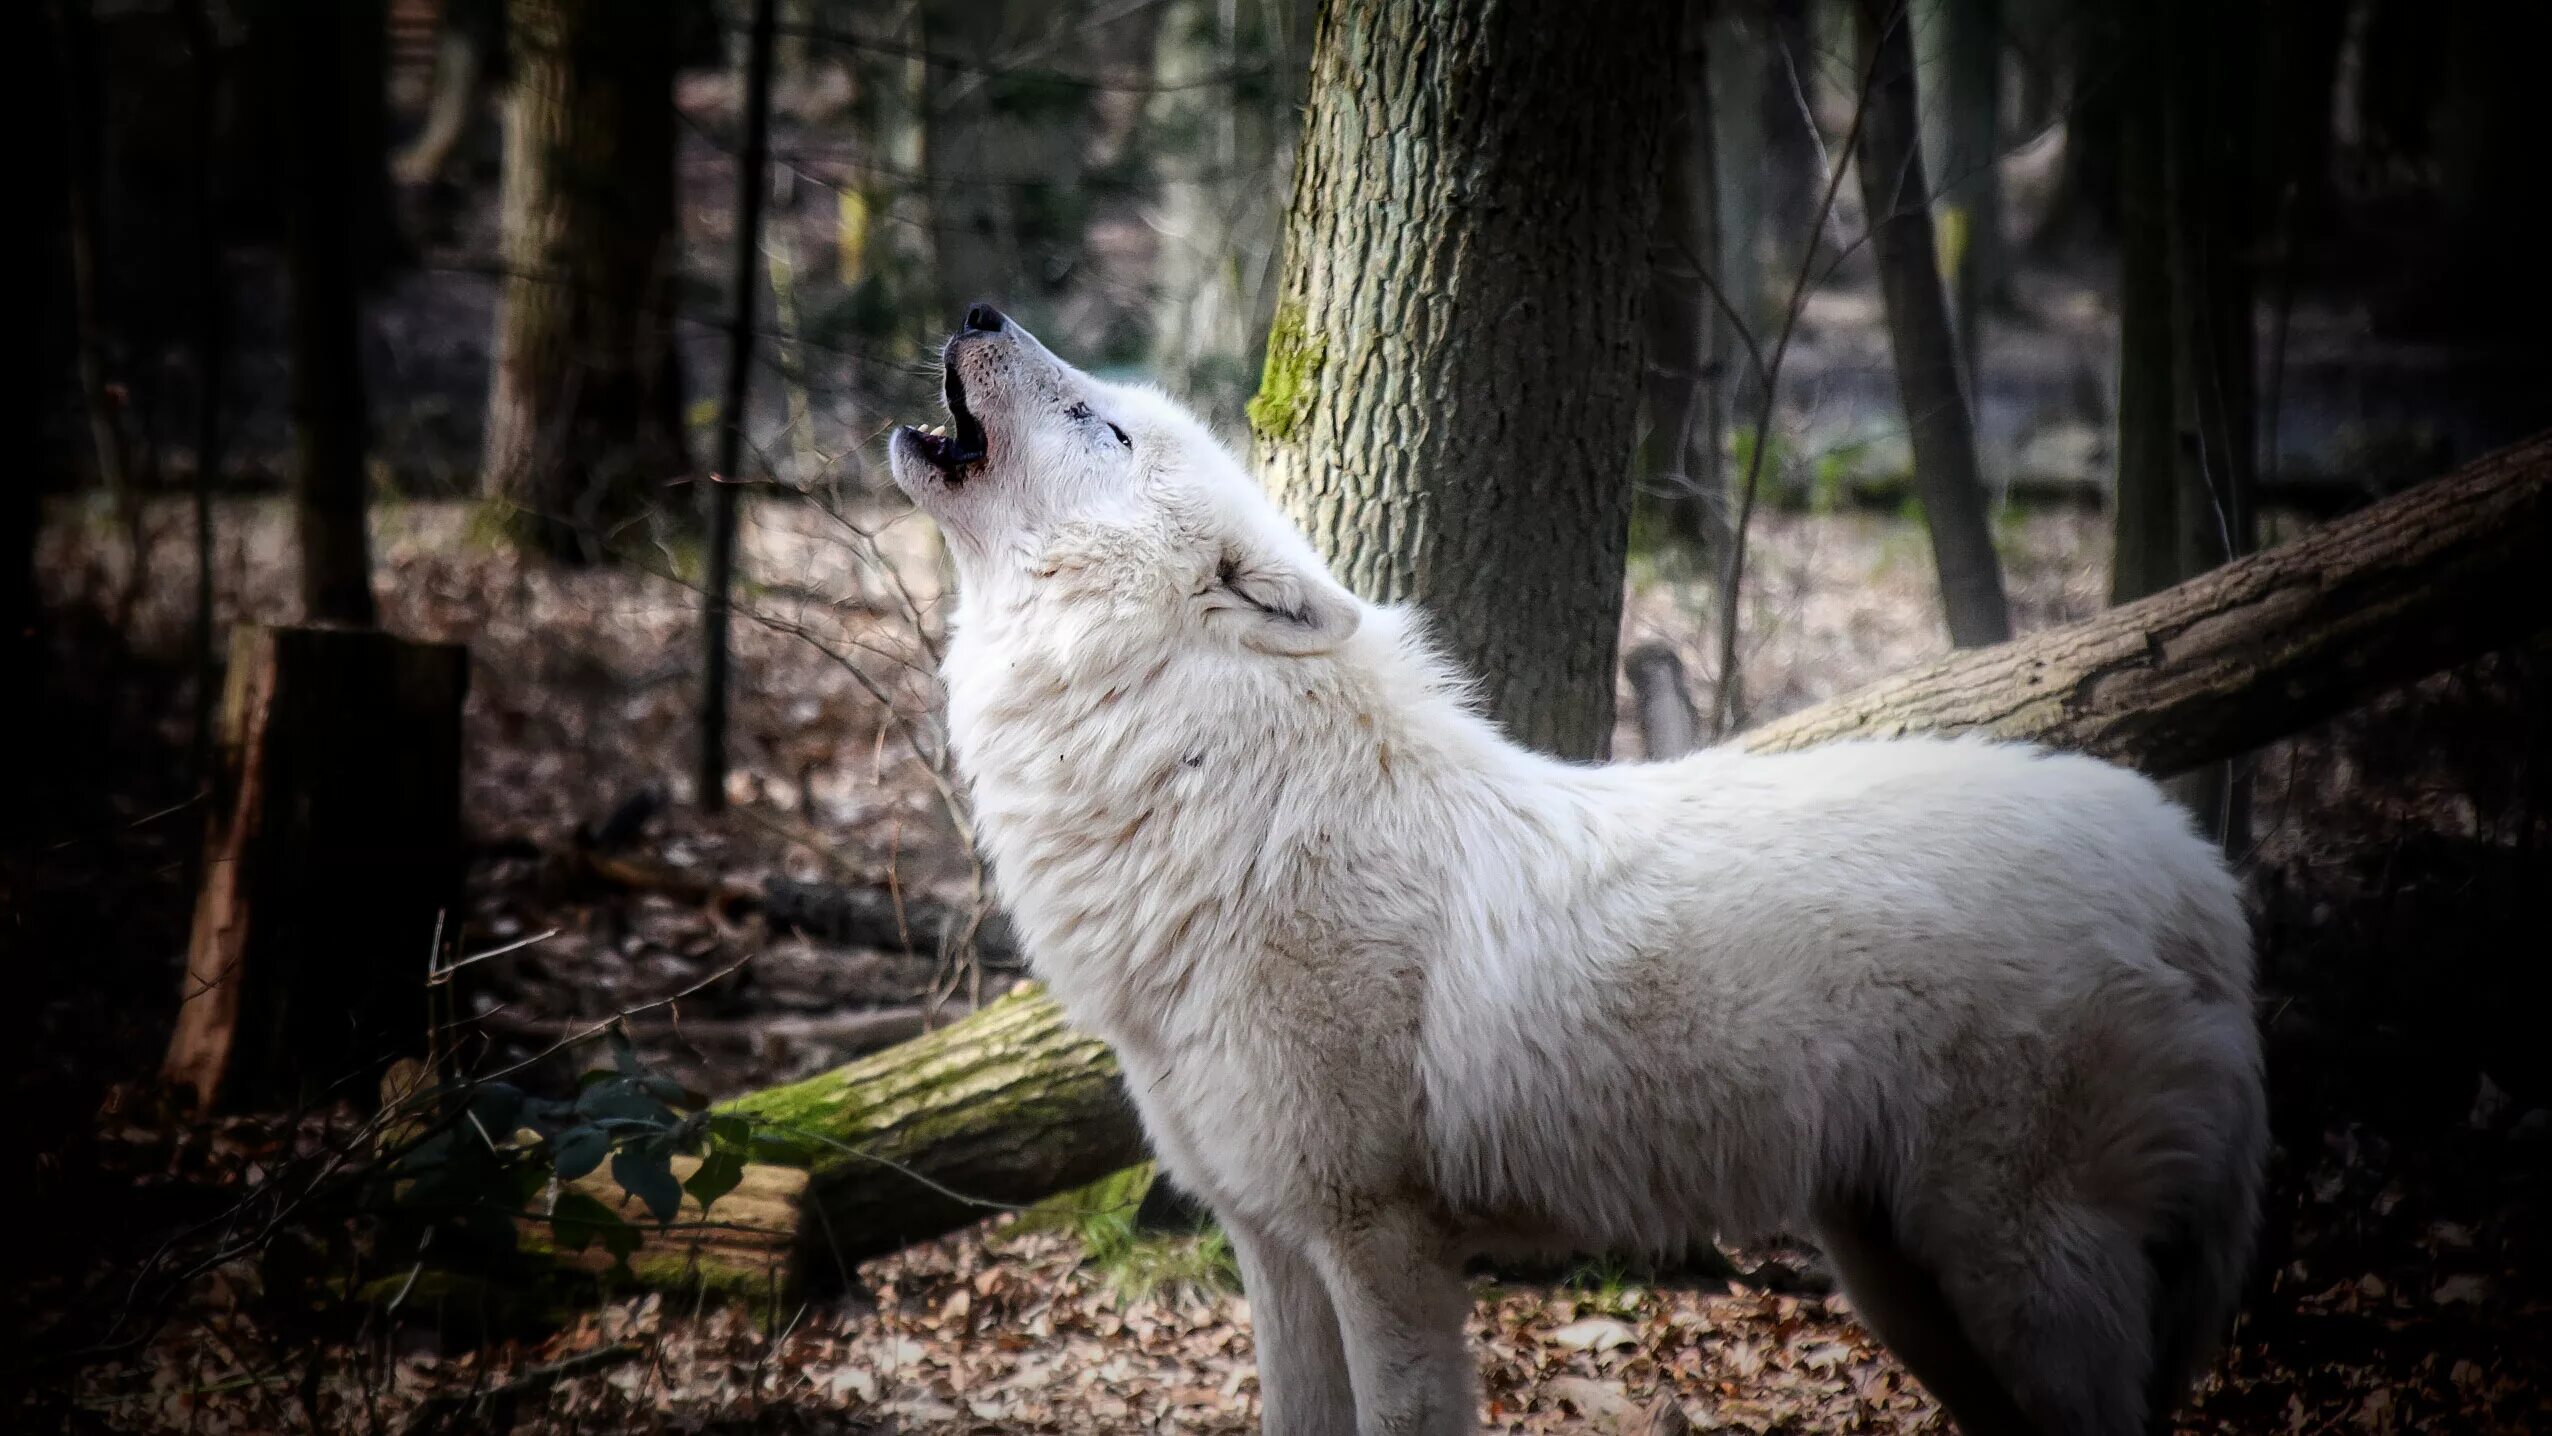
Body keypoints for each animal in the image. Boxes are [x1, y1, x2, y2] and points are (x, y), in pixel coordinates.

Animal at [888, 306, 2266, 1436]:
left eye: (1102, 423)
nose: (979, 310)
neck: (1209, 784)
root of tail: (2193, 871)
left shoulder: (1379, 1240)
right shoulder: (1269, 1241)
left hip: (2012, 1270)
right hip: (1903, 1280)